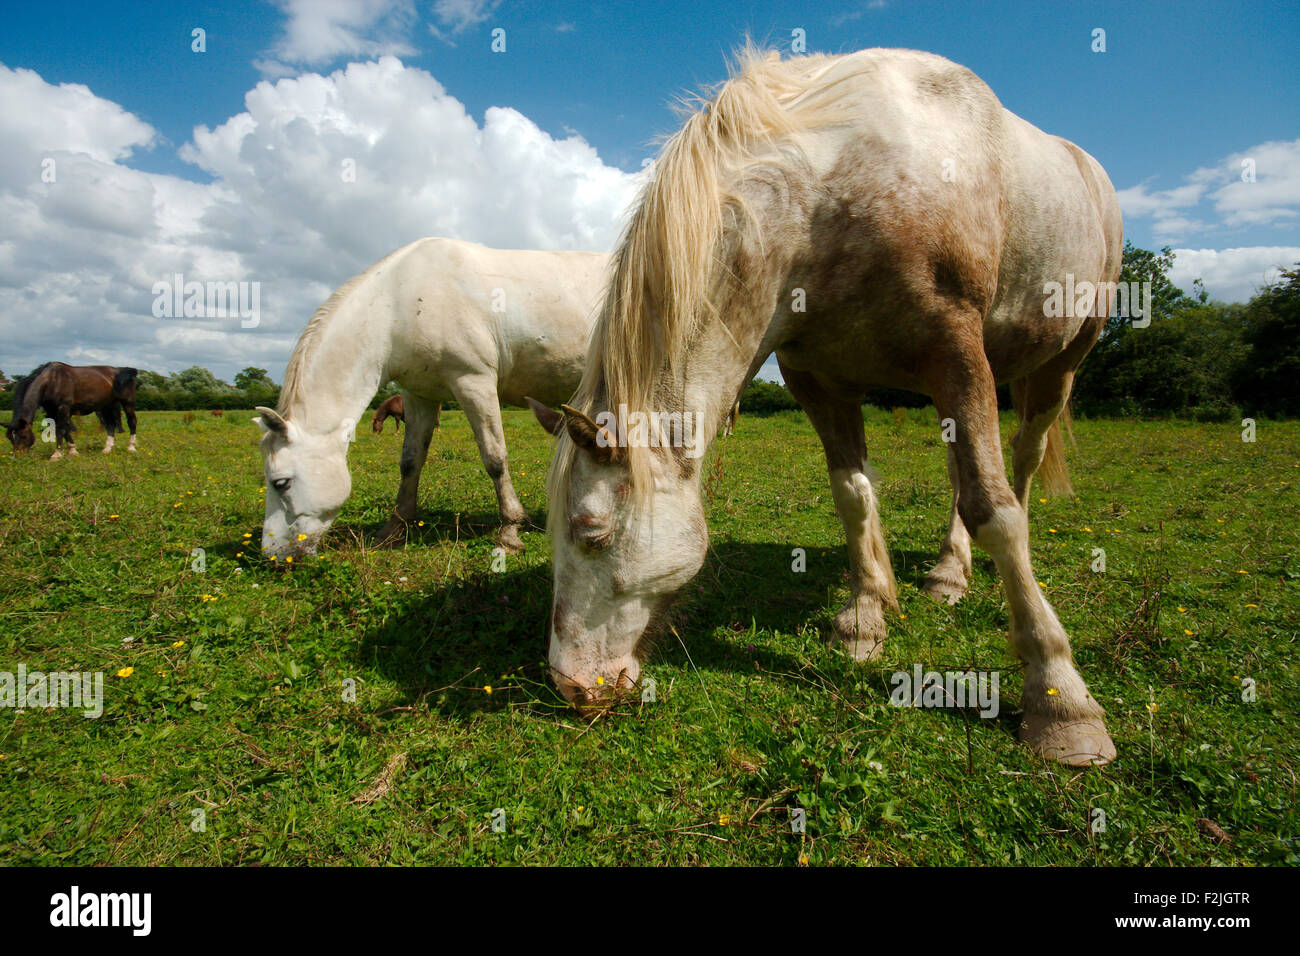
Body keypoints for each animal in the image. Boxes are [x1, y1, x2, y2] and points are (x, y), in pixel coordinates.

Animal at [4, 361, 138, 460]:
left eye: (23, 436)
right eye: (9, 438)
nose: (17, 457)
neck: (52, 381)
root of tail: (122, 371)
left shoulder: (63, 408)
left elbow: (60, 430)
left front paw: (56, 454)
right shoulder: (51, 411)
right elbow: (64, 430)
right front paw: (72, 450)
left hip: (127, 403)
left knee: (132, 421)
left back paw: (131, 447)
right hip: (106, 406)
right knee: (110, 425)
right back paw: (107, 448)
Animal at [260, 234, 613, 556]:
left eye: (281, 483)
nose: (272, 555)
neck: (399, 304)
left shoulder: (473, 381)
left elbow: (494, 458)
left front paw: (511, 530)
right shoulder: (419, 395)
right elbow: (410, 461)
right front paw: (394, 528)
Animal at [533, 48, 1123, 770]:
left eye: (591, 531)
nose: (569, 683)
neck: (832, 197)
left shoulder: (958, 354)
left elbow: (998, 514)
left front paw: (1060, 698)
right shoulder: (818, 379)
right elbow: (854, 495)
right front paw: (865, 619)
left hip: (1059, 363)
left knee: (1021, 463)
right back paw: (948, 573)